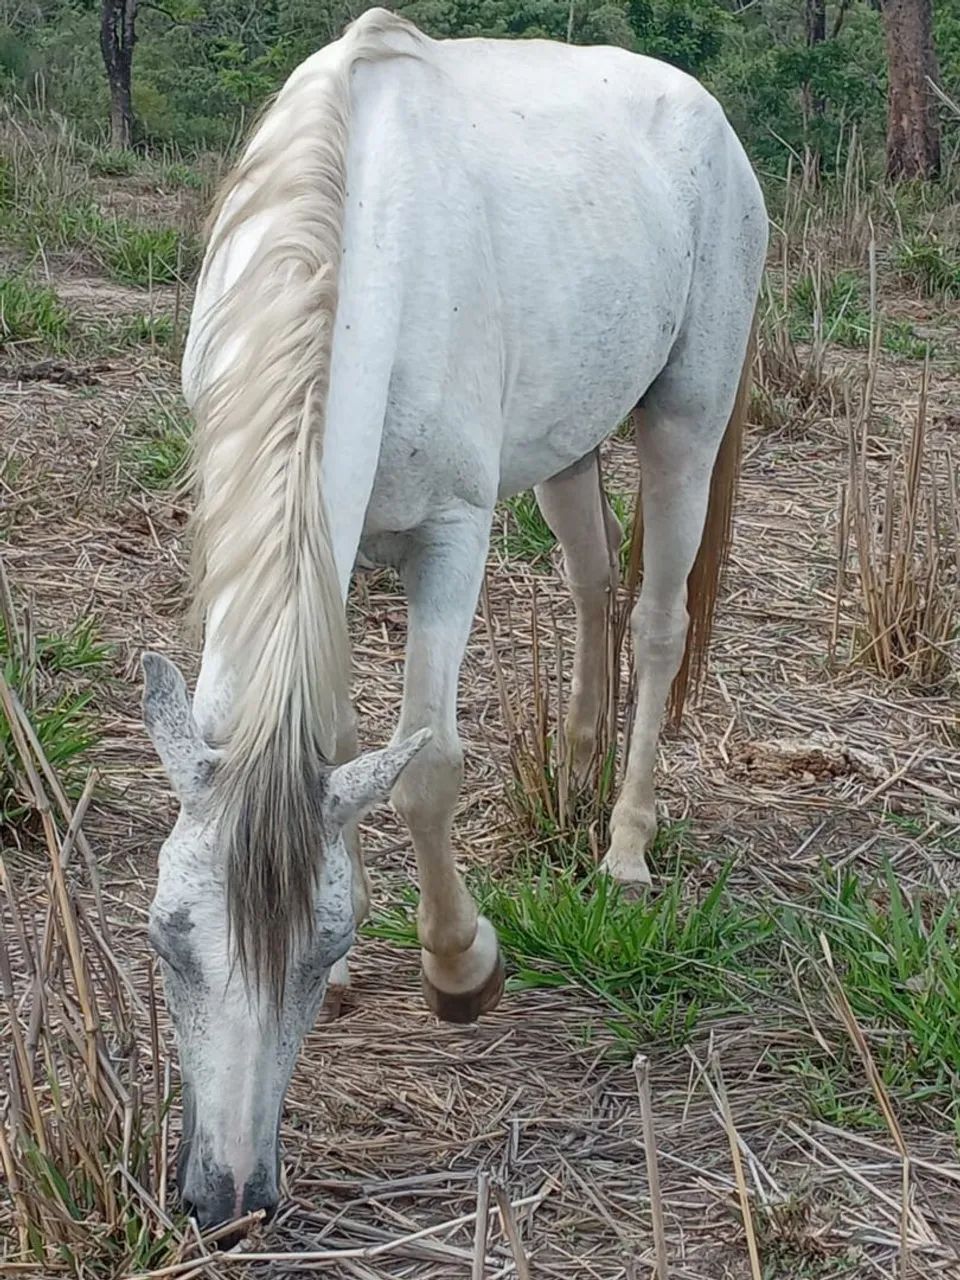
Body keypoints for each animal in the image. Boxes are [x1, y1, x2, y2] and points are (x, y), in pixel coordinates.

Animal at [141, 7, 766, 1231]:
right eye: (169, 941)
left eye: (316, 941)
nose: (229, 1195)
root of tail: (708, 113)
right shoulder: (326, 558)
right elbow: (339, 745)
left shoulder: (451, 537)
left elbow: (425, 766)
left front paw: (460, 968)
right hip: (567, 445)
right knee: (593, 585)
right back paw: (573, 769)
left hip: (686, 416)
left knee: (658, 617)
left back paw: (625, 845)